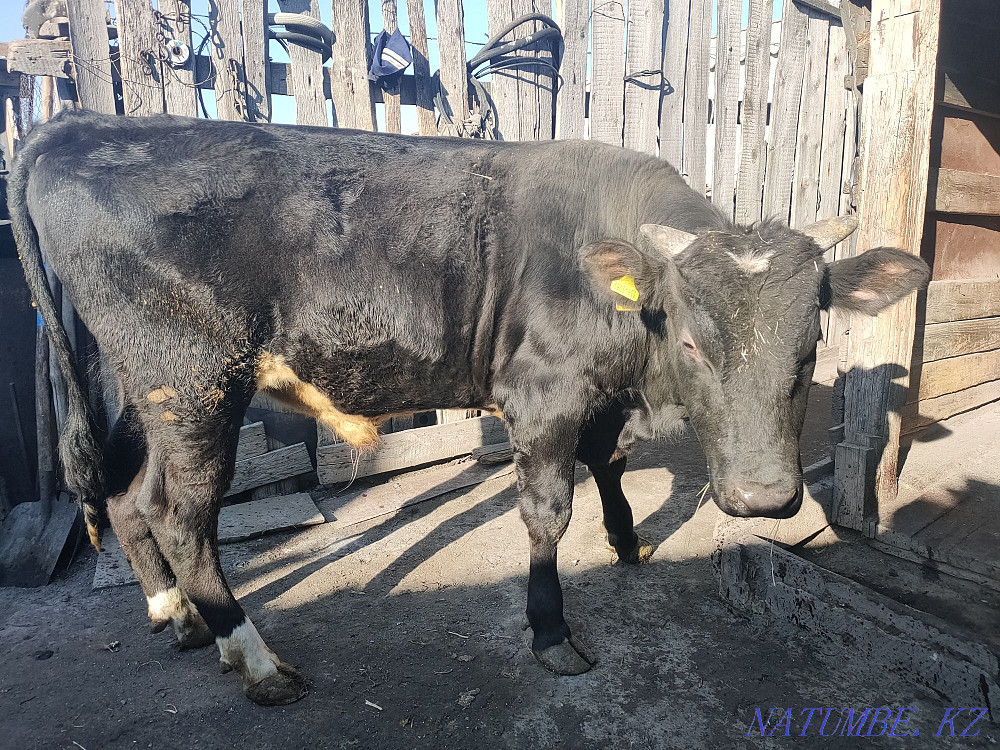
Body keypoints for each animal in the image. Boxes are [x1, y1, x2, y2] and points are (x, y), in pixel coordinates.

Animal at [9, 110, 929, 705]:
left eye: (811, 340)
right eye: (696, 342)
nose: (765, 498)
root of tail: (74, 123)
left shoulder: (595, 394)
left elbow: (610, 462)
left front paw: (628, 541)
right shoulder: (543, 394)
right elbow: (548, 513)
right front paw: (553, 633)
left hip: (145, 390)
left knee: (130, 500)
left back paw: (179, 618)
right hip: (195, 384)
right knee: (182, 514)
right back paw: (256, 659)